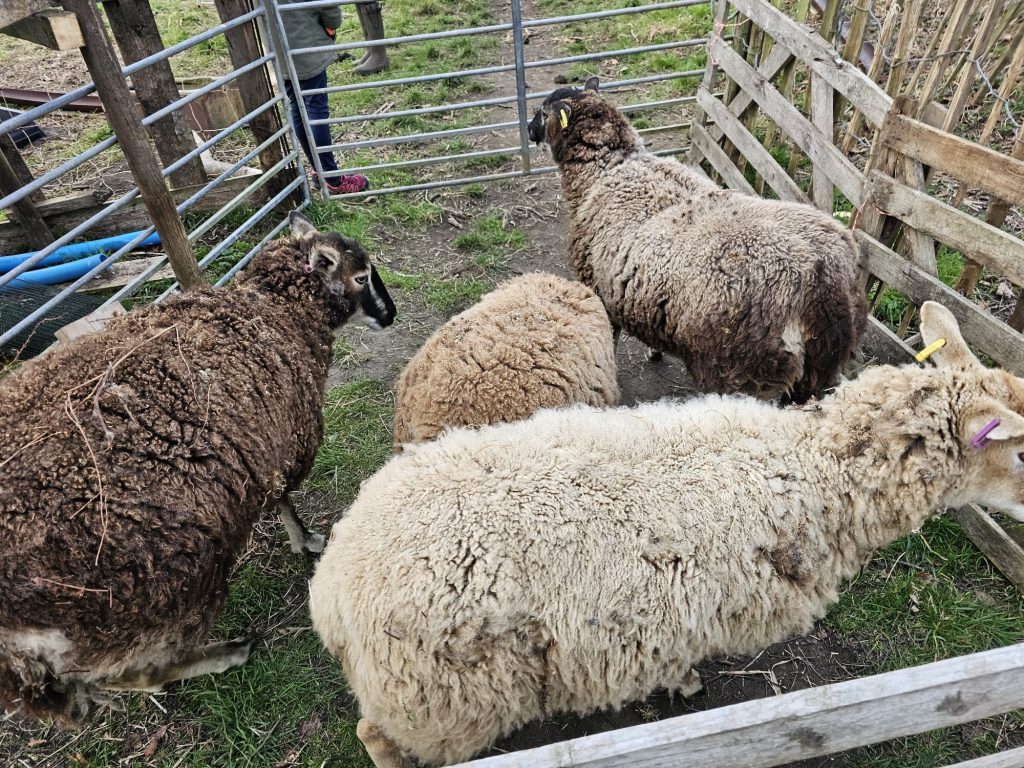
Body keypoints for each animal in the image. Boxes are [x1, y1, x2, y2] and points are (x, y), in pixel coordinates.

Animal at [0, 211, 396, 724]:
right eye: (361, 276)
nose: (391, 314)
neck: (275, 309)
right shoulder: (281, 443)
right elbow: (285, 500)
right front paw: (306, 540)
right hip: (153, 593)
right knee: (138, 669)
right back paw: (226, 653)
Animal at [309, 301, 1024, 767]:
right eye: (1019, 452)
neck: (810, 468)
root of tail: (334, 586)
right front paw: (687, 688)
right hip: (437, 701)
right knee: (375, 739)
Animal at [526, 77, 867, 404]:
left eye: (542, 112)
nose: (528, 130)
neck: (611, 167)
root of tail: (822, 284)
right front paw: (654, 351)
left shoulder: (597, 287)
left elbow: (610, 336)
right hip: (819, 371)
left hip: (746, 372)